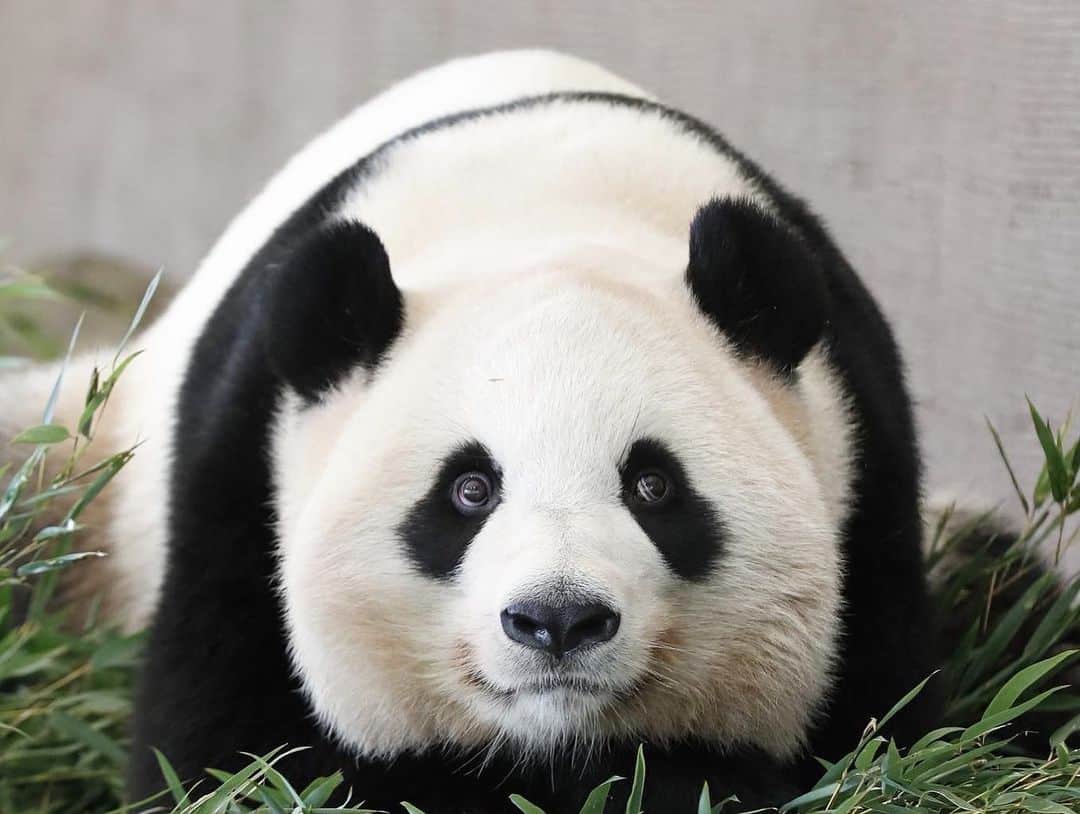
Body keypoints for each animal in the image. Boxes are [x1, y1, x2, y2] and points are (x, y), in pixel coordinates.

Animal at [0, 51, 942, 810]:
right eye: (469, 489)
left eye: (653, 484)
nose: (558, 619)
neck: (546, 209)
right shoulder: (240, 477)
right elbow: (232, 753)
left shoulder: (868, 481)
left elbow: (883, 729)